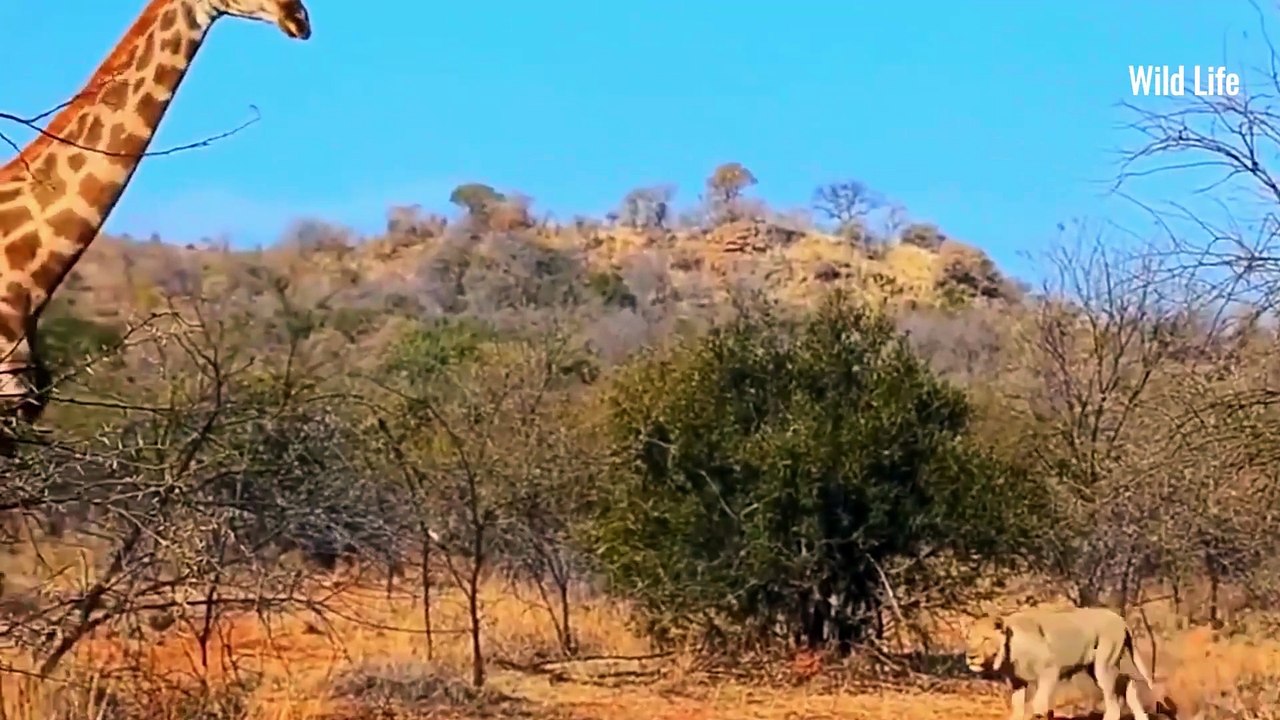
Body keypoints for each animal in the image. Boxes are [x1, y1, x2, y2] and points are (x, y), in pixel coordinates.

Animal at [965, 605, 1175, 720]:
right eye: (969, 638)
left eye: (985, 639)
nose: (971, 656)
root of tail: (1121, 620)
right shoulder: (1017, 682)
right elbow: (1017, 708)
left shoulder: (1050, 669)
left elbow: (1039, 703)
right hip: (1110, 664)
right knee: (1129, 687)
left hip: (1103, 665)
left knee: (1114, 706)